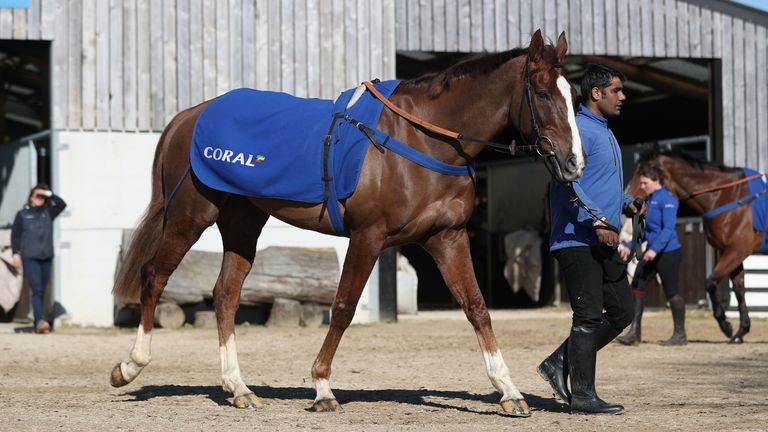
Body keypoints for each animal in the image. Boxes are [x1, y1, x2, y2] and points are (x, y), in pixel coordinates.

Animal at [105, 29, 580, 416]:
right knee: (154, 276)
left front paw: (509, 391)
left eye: (573, 96)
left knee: (225, 295)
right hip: (190, 216)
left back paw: (238, 387)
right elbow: (343, 307)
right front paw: (322, 388)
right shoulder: (368, 236)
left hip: (243, 222)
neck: (422, 139)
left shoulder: (447, 238)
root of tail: (188, 117)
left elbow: (477, 308)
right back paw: (130, 367)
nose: (574, 162)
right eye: (541, 93)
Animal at [628, 151, 764, 344]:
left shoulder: (737, 251)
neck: (725, 196)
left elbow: (711, 282)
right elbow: (739, 290)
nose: (629, 204)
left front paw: (726, 325)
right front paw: (740, 331)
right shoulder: (729, 251)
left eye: (642, 174)